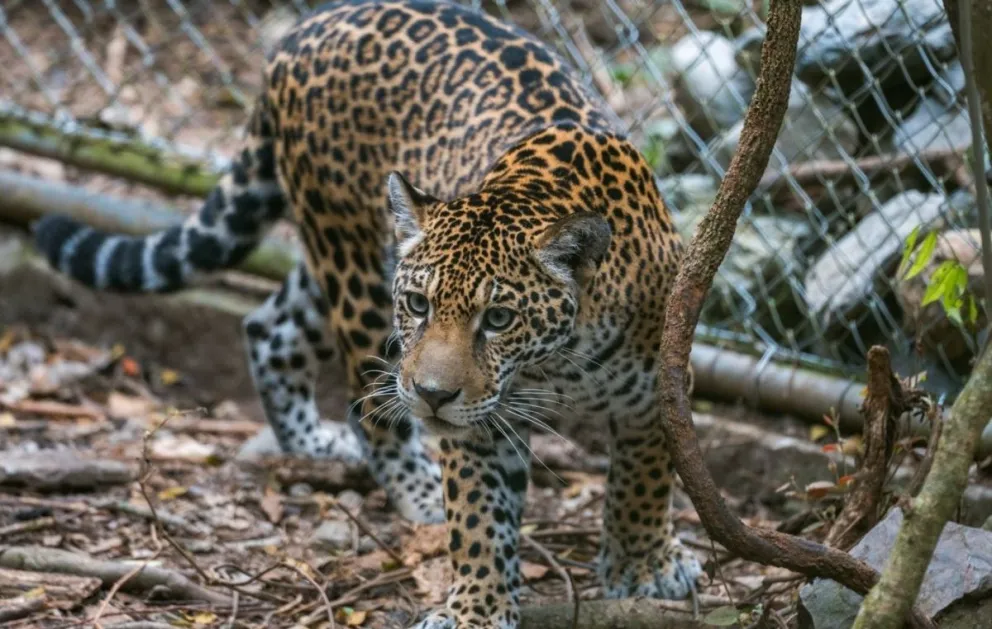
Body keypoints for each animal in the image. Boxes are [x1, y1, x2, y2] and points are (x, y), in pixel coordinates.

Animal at [33, 0, 703, 626]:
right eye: (419, 304)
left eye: (499, 319)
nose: (433, 395)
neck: (558, 362)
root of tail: (304, 31)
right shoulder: (476, 422)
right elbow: (479, 518)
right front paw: (477, 608)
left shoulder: (658, 387)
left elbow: (645, 478)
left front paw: (643, 567)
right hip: (350, 259)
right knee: (366, 401)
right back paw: (413, 487)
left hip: (332, 259)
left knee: (268, 327)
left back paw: (311, 441)